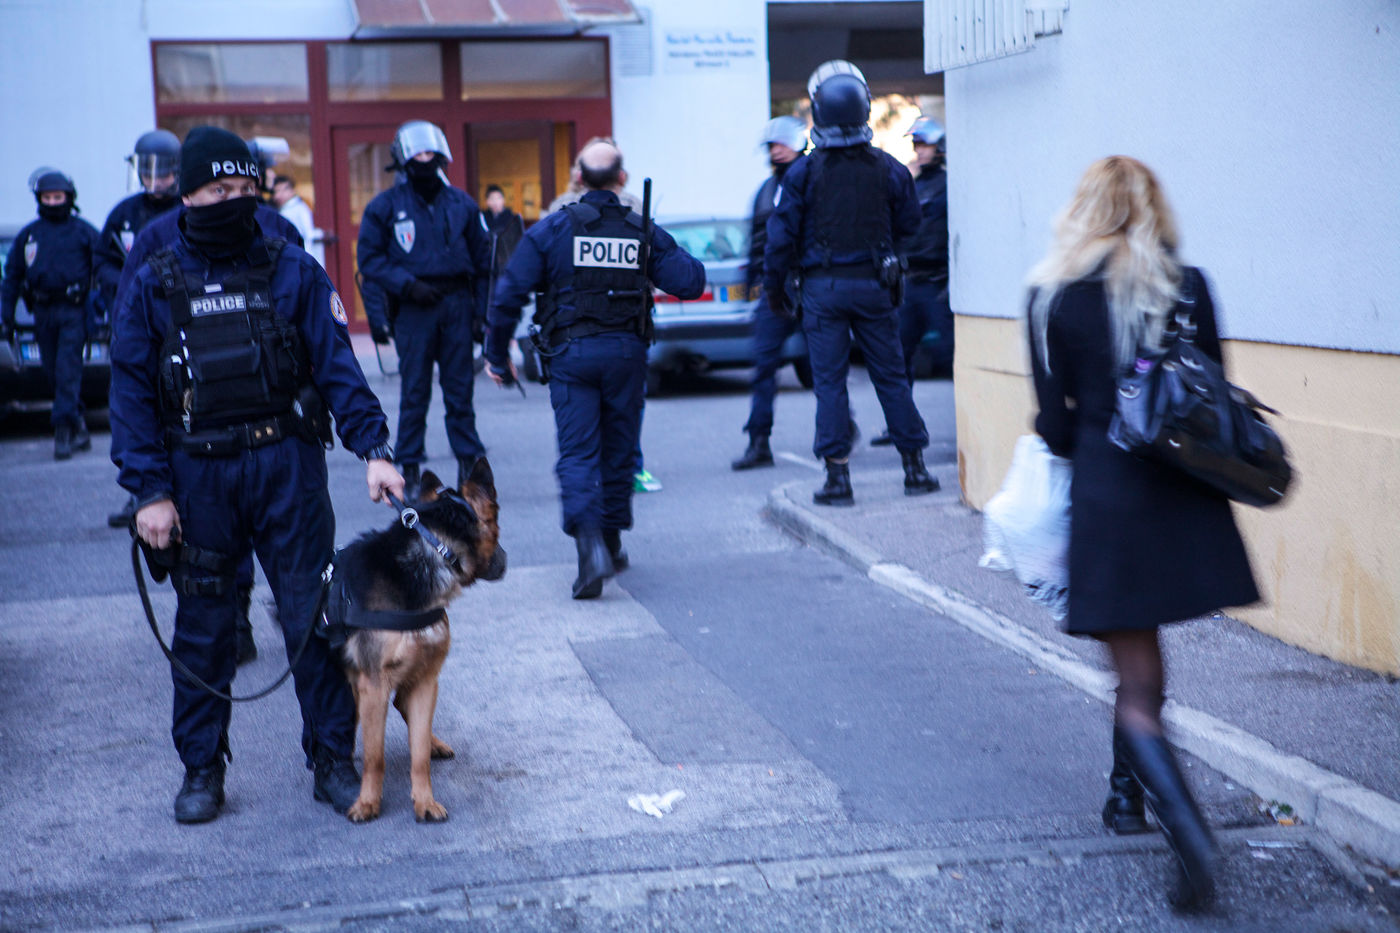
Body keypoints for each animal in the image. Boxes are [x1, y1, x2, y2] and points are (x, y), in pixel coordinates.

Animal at [330, 457, 506, 823]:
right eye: (498, 526)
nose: (506, 561)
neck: (433, 548)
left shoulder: (427, 680)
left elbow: (419, 753)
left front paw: (424, 800)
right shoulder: (373, 685)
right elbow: (375, 757)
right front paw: (367, 802)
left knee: (405, 708)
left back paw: (435, 743)